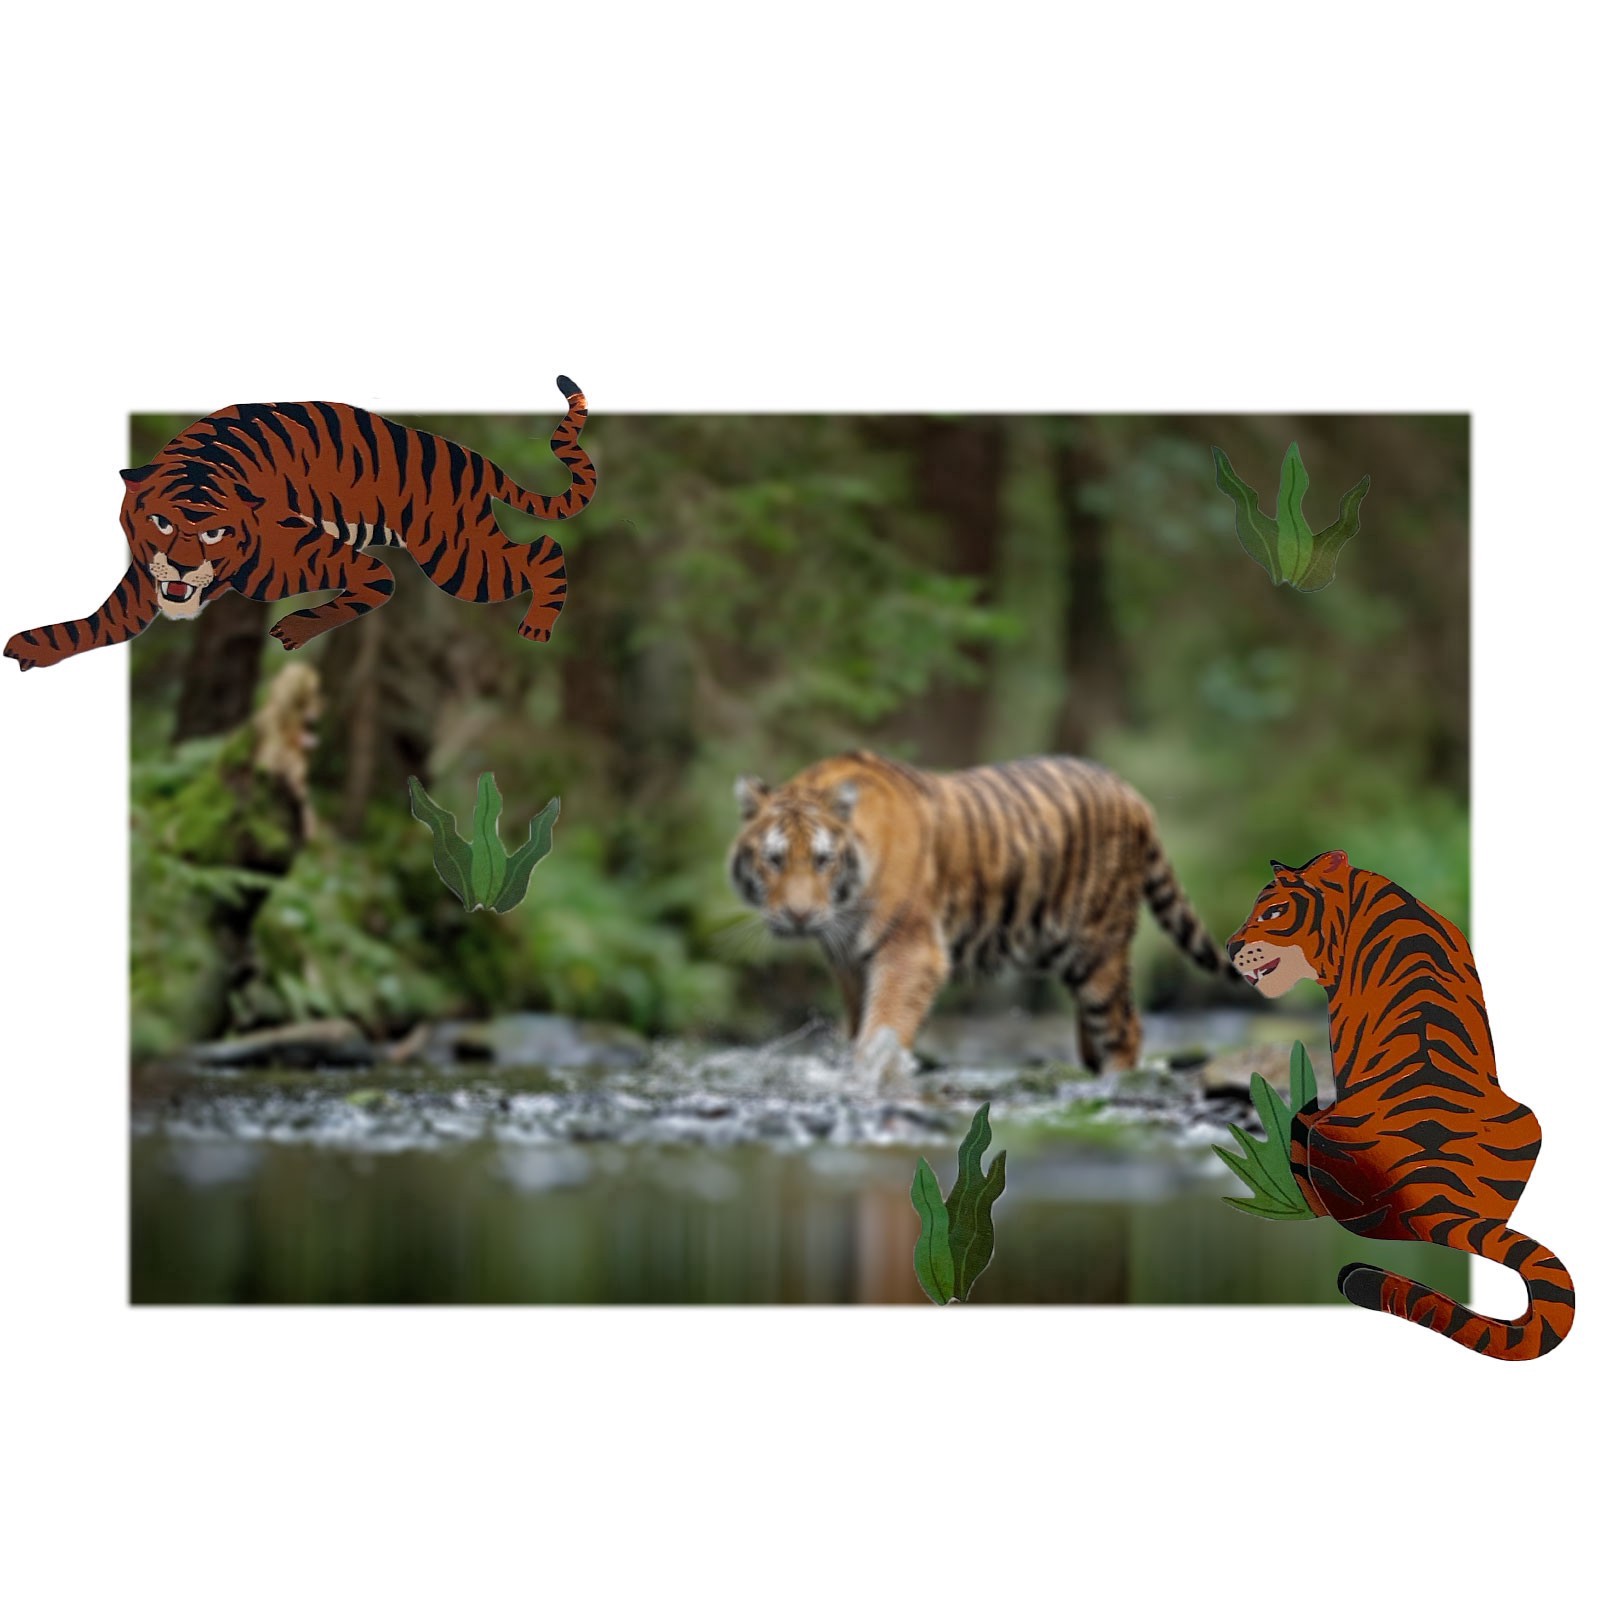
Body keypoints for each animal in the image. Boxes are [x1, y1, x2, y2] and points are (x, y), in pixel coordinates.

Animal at [4, 376, 595, 671]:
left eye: (215, 532)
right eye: (161, 523)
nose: (182, 567)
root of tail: (474, 459)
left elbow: (376, 582)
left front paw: (294, 630)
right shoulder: (142, 581)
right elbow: (98, 623)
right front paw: (31, 646)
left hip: (455, 553)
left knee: (545, 549)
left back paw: (538, 626)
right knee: (540, 547)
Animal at [728, 749, 1235, 1074]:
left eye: (822, 860)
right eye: (774, 859)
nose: (798, 915)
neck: (846, 905)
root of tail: (1133, 794)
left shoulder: (910, 951)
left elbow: (882, 1029)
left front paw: (873, 1074)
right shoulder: (850, 962)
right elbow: (861, 1025)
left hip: (1098, 950)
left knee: (1126, 1029)